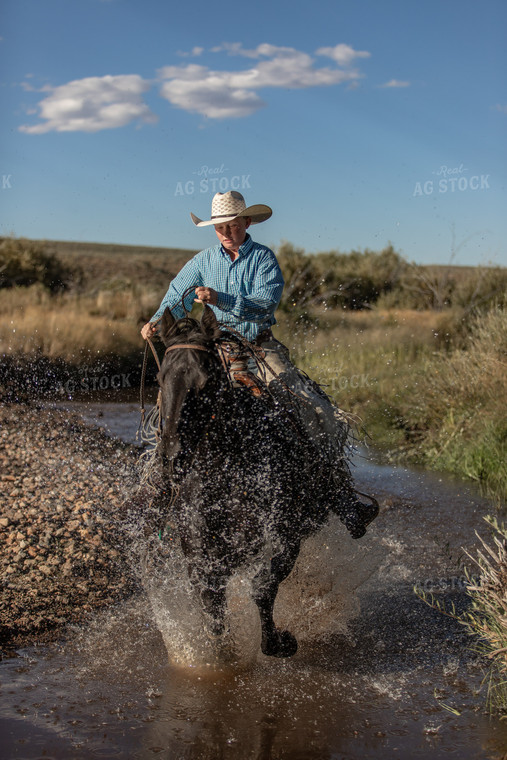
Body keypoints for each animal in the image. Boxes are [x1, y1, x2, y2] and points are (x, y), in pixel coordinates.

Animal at [147, 306, 362, 656]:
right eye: (159, 379)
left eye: (205, 380)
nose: (171, 457)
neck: (228, 480)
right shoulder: (202, 559)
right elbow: (214, 615)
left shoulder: (287, 538)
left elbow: (263, 586)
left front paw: (279, 642)